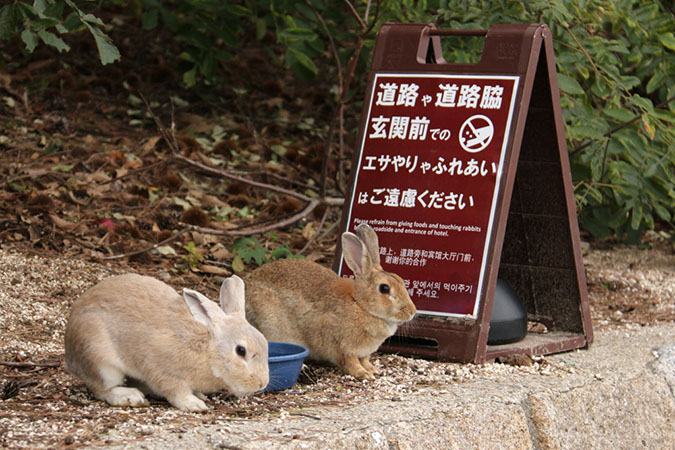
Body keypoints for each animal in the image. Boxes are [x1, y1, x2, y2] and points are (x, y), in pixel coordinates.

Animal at [64, 274, 268, 412]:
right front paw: (194, 404)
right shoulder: (164, 372)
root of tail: (69, 355)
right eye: (241, 351)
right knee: (102, 389)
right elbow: (176, 391)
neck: (208, 351)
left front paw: (199, 395)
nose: (261, 384)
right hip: (101, 360)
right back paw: (129, 397)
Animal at [244, 223, 416, 380]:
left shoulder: (363, 352)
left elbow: (365, 359)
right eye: (385, 289)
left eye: (401, 281)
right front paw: (364, 374)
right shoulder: (341, 347)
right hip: (270, 327)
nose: (412, 312)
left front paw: (372, 369)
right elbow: (351, 362)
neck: (360, 305)